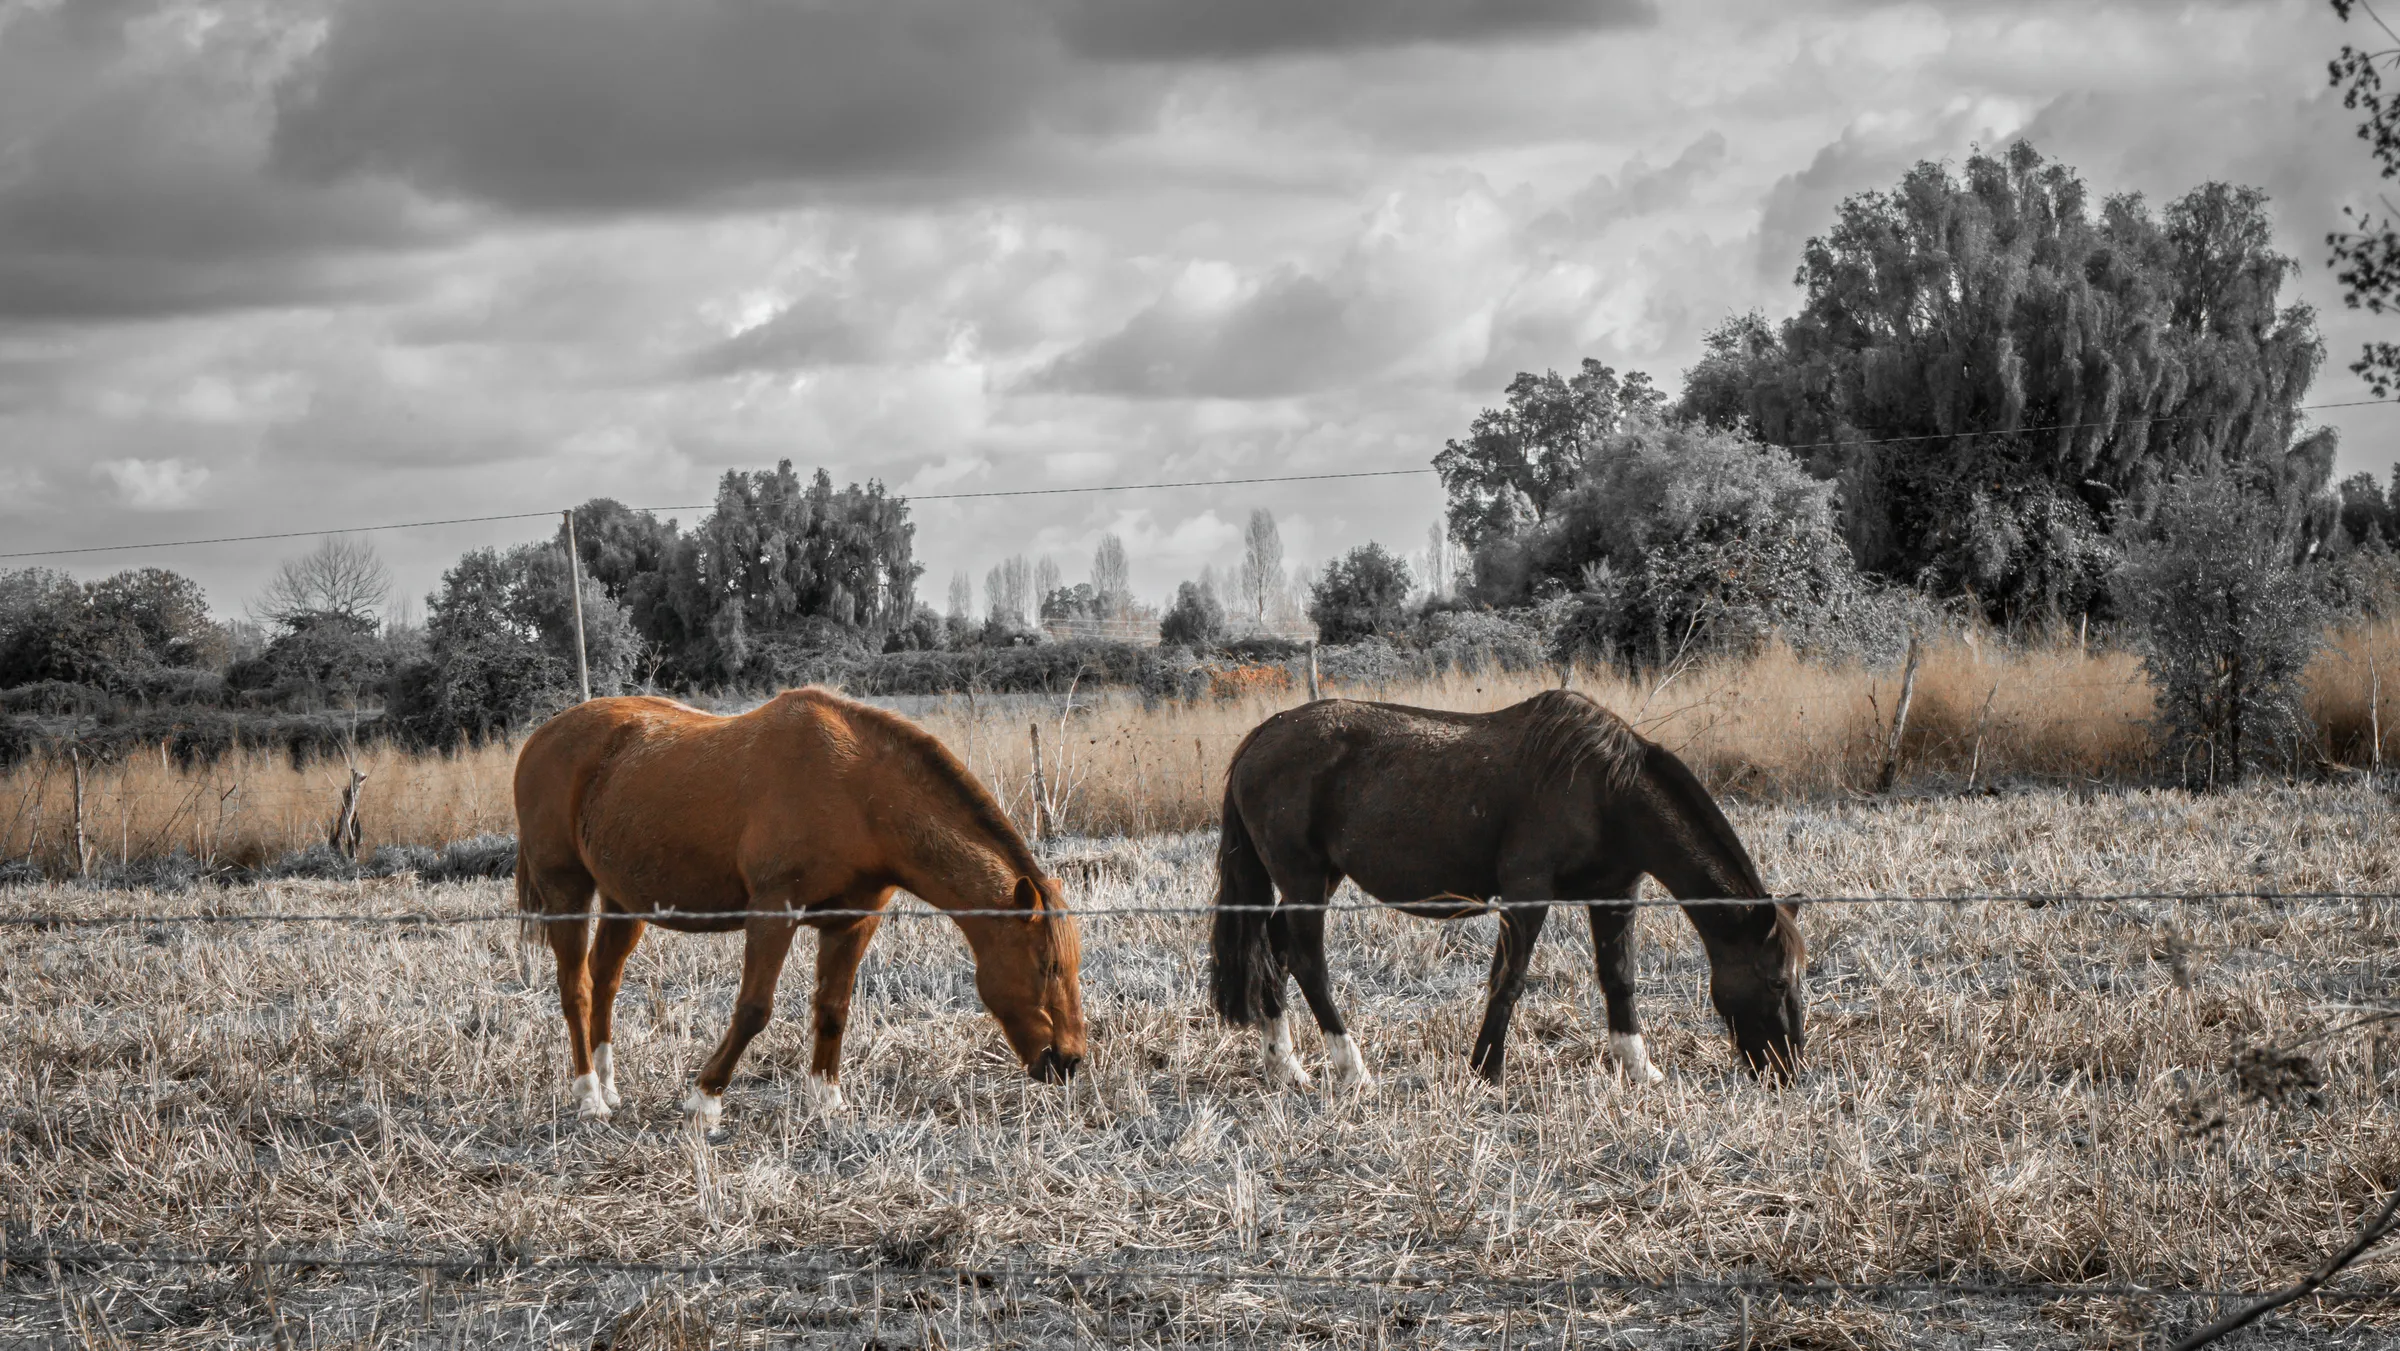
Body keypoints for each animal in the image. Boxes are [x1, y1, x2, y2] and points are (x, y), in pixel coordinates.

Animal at [513, 688, 1085, 1127]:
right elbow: (753, 1009)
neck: (858, 794)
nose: (1070, 1060)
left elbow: (833, 1008)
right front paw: (705, 1098)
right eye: (1047, 966)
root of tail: (540, 739)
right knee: (576, 988)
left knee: (604, 980)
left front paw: (827, 1099)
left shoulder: (852, 923)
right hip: (567, 892)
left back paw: (609, 1086)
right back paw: (589, 1096)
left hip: (623, 902)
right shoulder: (773, 911)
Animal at [1210, 689, 1804, 1088]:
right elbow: (1509, 980)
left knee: (1276, 953)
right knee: (1308, 964)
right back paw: (1351, 1068)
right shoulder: (1527, 894)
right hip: (1304, 880)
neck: (1606, 790)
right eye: (1775, 981)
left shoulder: (1615, 894)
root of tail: (1264, 734)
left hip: (1315, 881)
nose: (1790, 1070)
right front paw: (1486, 1070)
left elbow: (1619, 979)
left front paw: (1639, 1067)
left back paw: (1285, 1066)